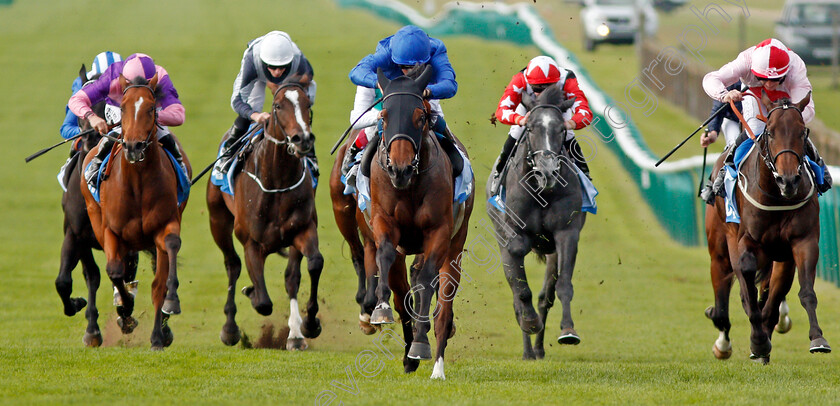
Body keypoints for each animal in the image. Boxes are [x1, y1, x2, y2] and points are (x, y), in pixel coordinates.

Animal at [55, 65, 139, 348]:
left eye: (113, 106)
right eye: (84, 104)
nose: (93, 133)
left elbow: (122, 273)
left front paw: (124, 311)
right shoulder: (75, 234)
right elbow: (66, 280)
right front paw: (79, 308)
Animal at [79, 74, 190, 350]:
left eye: (151, 108)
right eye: (123, 107)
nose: (134, 147)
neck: (138, 182)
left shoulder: (166, 223)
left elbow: (163, 275)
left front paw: (160, 330)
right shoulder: (111, 230)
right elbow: (114, 271)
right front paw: (126, 310)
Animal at [208, 78, 324, 348]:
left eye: (307, 103)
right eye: (278, 105)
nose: (302, 139)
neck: (277, 181)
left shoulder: (303, 229)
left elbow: (311, 265)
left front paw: (307, 326)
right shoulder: (251, 241)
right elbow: (263, 303)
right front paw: (252, 291)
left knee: (291, 276)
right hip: (218, 220)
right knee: (232, 264)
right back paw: (230, 329)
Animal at [704, 90, 832, 364]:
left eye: (802, 132)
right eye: (771, 132)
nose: (788, 180)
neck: (776, 196)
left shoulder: (801, 242)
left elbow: (803, 292)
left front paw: (817, 338)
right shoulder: (747, 243)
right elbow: (748, 290)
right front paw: (758, 342)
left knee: (769, 296)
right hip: (720, 248)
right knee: (724, 292)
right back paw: (723, 342)